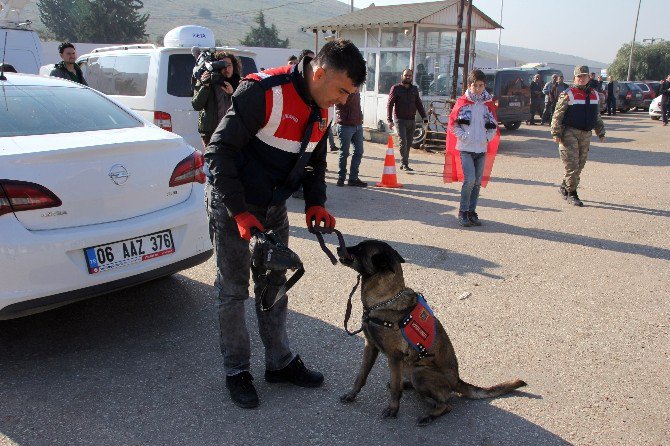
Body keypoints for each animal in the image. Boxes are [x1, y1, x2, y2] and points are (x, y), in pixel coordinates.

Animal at [338, 240, 528, 426]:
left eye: (359, 249)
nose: (338, 247)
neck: (384, 300)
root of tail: (457, 380)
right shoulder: (370, 347)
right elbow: (361, 376)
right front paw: (352, 394)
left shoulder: (394, 357)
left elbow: (394, 390)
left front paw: (393, 409)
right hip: (409, 368)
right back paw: (407, 385)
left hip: (419, 373)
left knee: (446, 404)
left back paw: (429, 415)